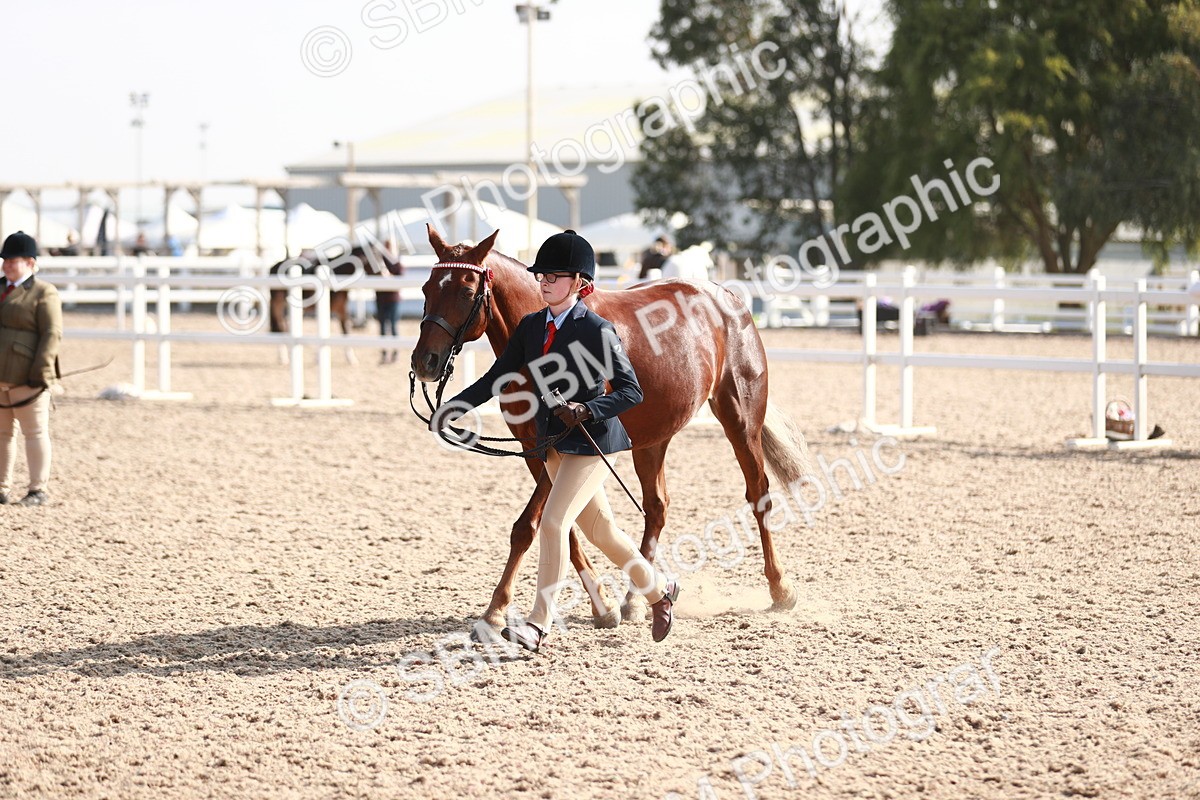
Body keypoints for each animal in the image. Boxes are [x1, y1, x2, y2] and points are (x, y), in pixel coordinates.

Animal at [268, 245, 402, 365]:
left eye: (380, 257)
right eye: (372, 257)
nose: (386, 275)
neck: (337, 273)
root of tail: (273, 267)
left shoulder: (341, 309)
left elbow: (345, 330)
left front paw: (351, 359)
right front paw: (318, 358)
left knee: (285, 326)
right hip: (278, 305)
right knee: (281, 326)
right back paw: (283, 357)